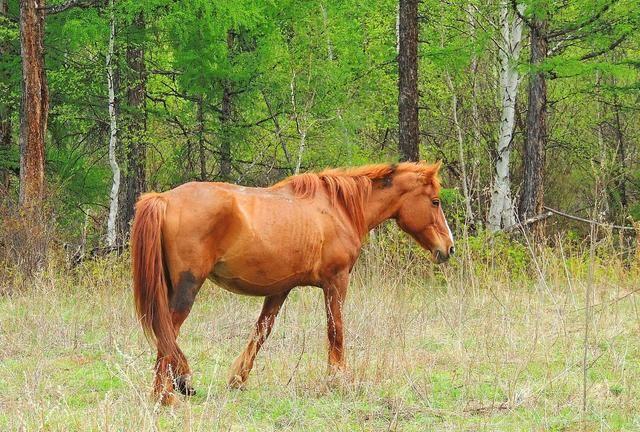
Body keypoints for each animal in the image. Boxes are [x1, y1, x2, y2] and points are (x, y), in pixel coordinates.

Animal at [132, 160, 456, 404]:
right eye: (435, 201)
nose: (449, 248)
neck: (338, 209)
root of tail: (164, 198)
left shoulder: (279, 290)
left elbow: (261, 332)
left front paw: (237, 379)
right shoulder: (336, 283)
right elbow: (335, 331)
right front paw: (338, 379)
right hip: (187, 289)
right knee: (167, 331)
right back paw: (166, 394)